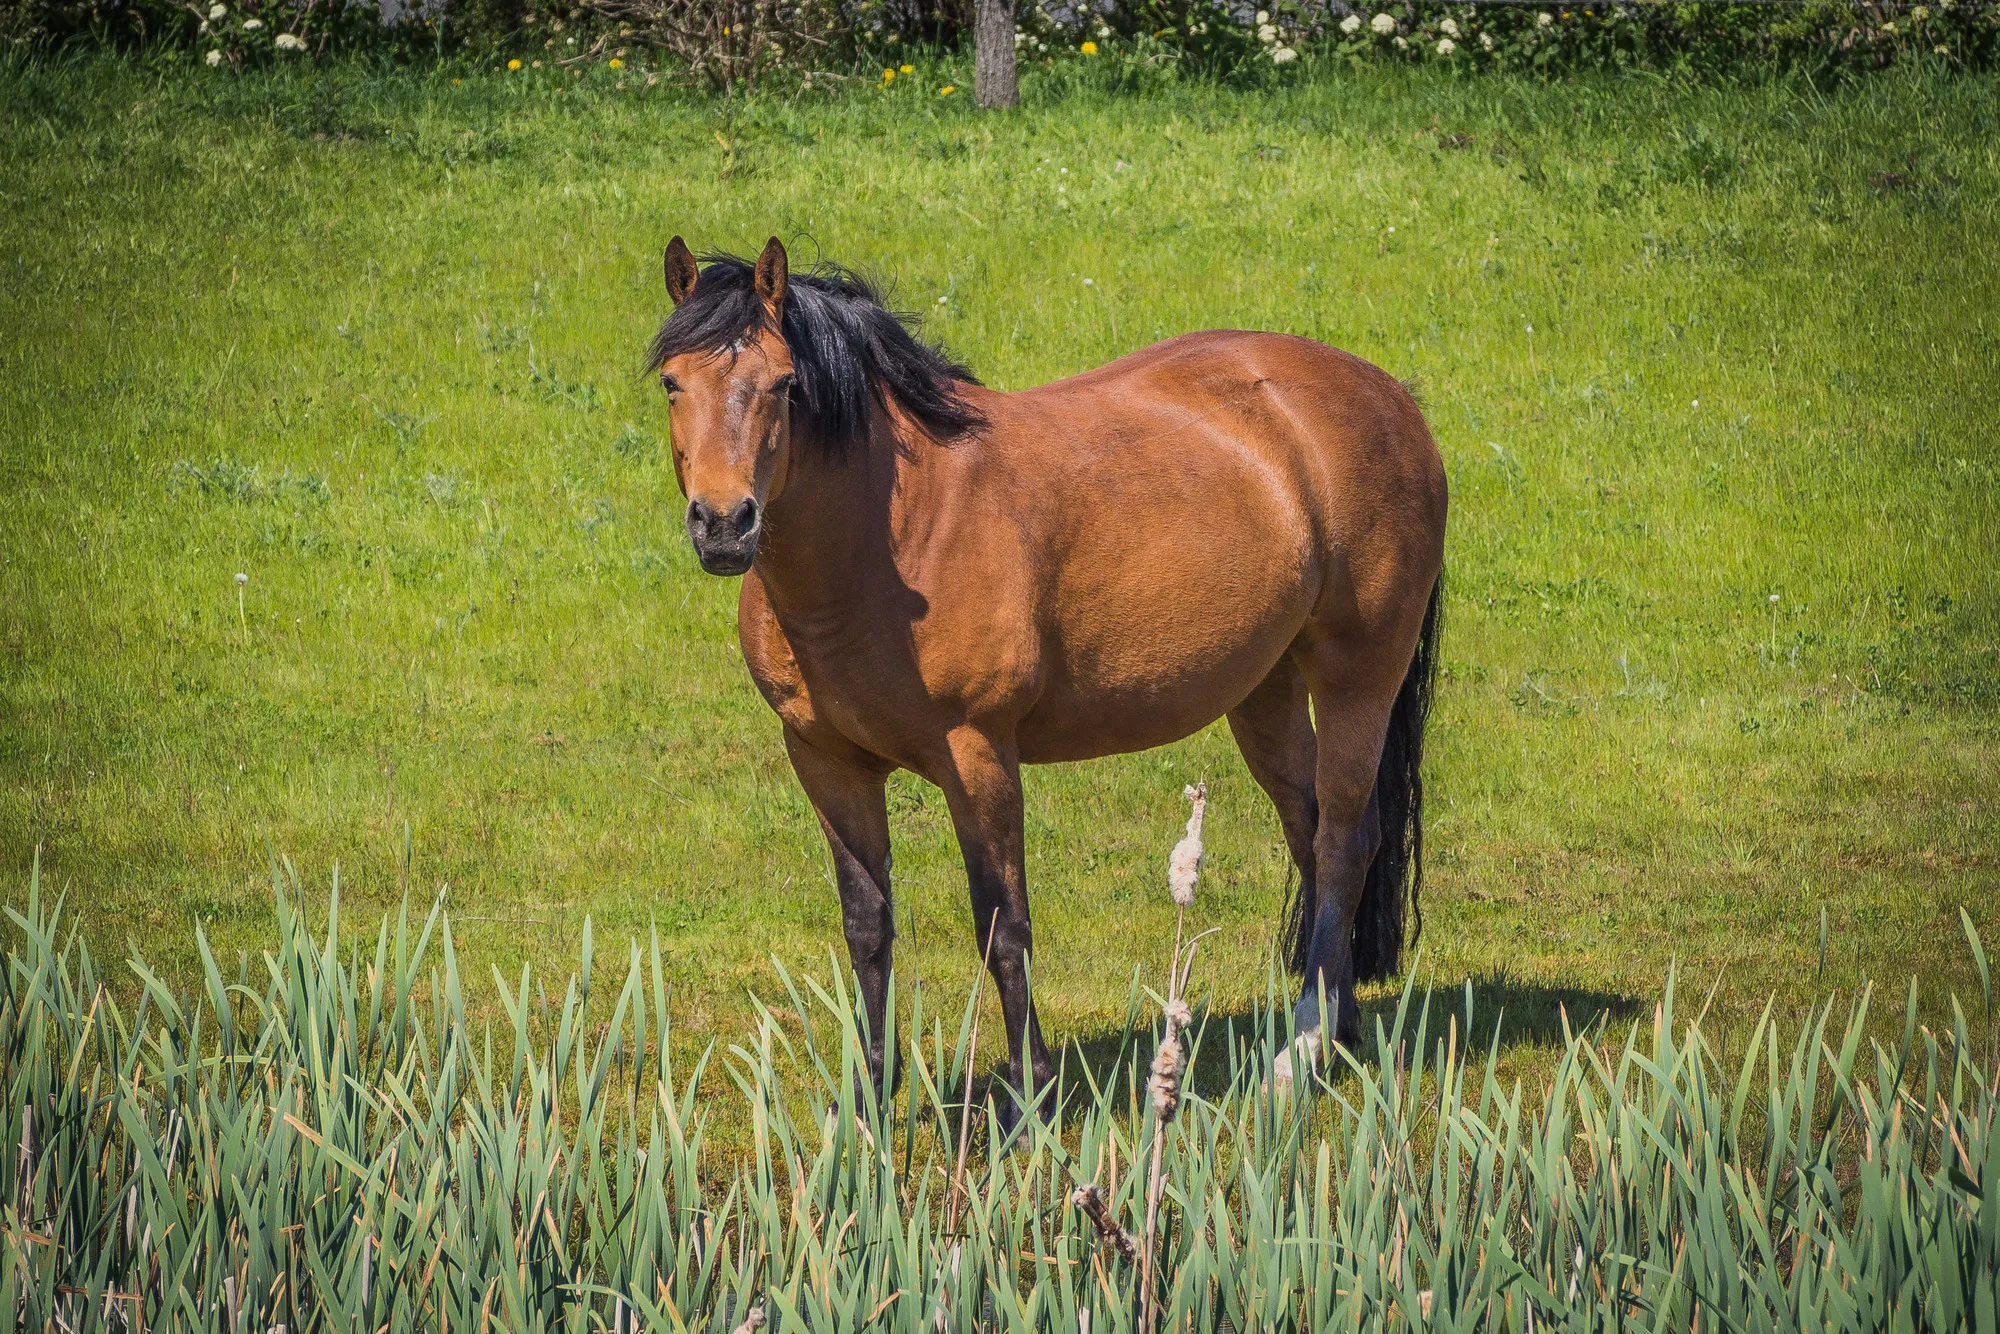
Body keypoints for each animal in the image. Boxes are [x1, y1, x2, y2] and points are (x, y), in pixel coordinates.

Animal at [646, 235, 1446, 1116]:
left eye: (785, 384)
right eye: (672, 381)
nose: (725, 524)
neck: (892, 537)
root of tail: (1387, 396)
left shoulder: (979, 754)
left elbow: (1005, 926)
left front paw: (1031, 1100)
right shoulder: (825, 761)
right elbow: (868, 925)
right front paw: (866, 1101)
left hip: (1356, 675)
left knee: (1343, 839)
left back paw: (1300, 1052)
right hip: (1263, 693)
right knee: (1311, 833)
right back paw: (1337, 1024)